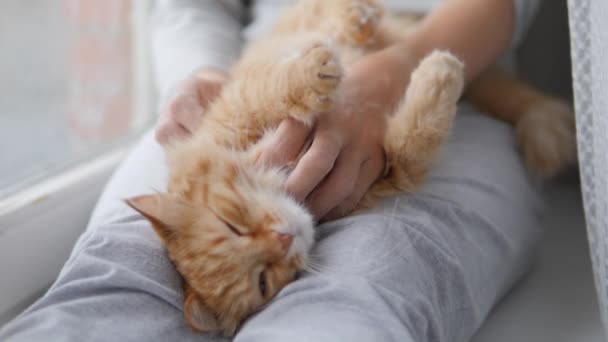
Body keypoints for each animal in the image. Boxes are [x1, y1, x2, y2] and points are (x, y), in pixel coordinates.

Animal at [126, 0, 572, 336]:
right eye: (263, 282)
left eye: (232, 224)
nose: (284, 239)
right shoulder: (393, 171)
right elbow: (416, 134)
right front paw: (439, 74)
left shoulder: (241, 107)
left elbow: (277, 88)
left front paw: (314, 73)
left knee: (331, 14)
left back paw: (354, 19)